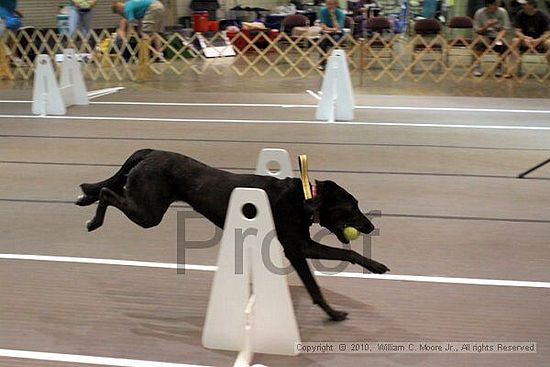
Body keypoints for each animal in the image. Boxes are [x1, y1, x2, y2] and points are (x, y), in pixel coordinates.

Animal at [77, 150, 390, 322]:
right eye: (351, 207)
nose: (370, 227)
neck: (304, 197)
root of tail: (150, 152)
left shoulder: (298, 247)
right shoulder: (298, 247)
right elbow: (335, 264)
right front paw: (338, 308)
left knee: (108, 190)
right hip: (149, 213)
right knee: (106, 192)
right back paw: (93, 220)